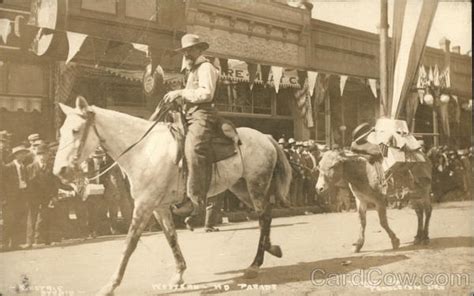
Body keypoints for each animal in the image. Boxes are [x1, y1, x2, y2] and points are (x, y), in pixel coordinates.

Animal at [51, 96, 288, 294]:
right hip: (241, 188)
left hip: (256, 185)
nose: (59, 171)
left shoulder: (144, 205)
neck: (144, 151)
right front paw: (178, 275)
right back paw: (271, 249)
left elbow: (129, 244)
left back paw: (255, 265)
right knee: (265, 215)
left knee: (264, 217)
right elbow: (171, 237)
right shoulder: (159, 207)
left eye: (75, 130)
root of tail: (266, 137)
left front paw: (110, 285)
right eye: (61, 130)